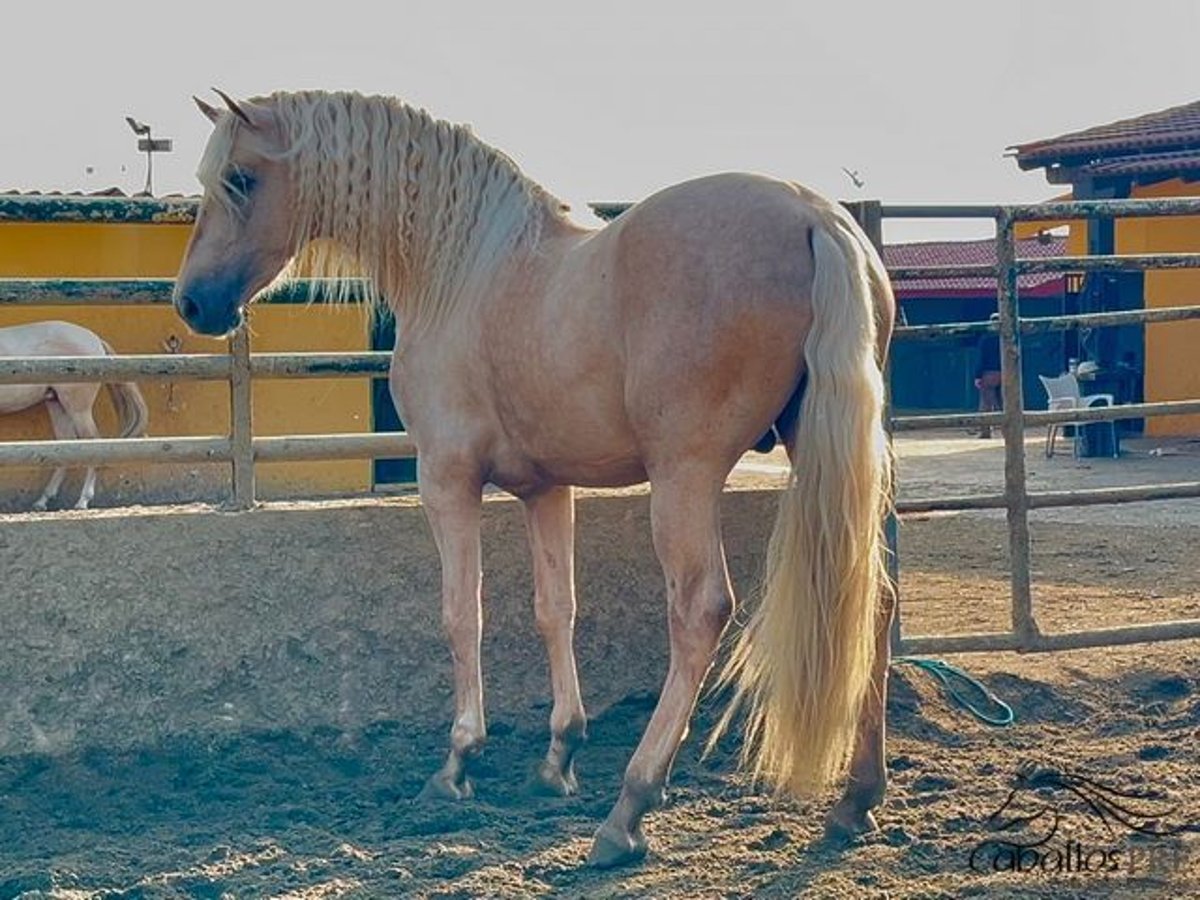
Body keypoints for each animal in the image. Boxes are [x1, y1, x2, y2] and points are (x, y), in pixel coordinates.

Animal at [0, 321, 148, 511]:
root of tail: (95, 340)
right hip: (56, 404)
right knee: (66, 444)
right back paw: (43, 500)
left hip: (78, 410)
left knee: (92, 443)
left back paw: (82, 501)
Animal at [174, 90, 897, 868]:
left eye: (240, 179)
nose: (191, 303)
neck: (462, 269)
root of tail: (813, 215)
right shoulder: (546, 489)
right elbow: (557, 610)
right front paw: (559, 756)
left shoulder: (447, 479)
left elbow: (463, 614)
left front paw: (458, 762)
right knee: (873, 599)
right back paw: (856, 800)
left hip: (685, 475)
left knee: (700, 611)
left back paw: (629, 810)